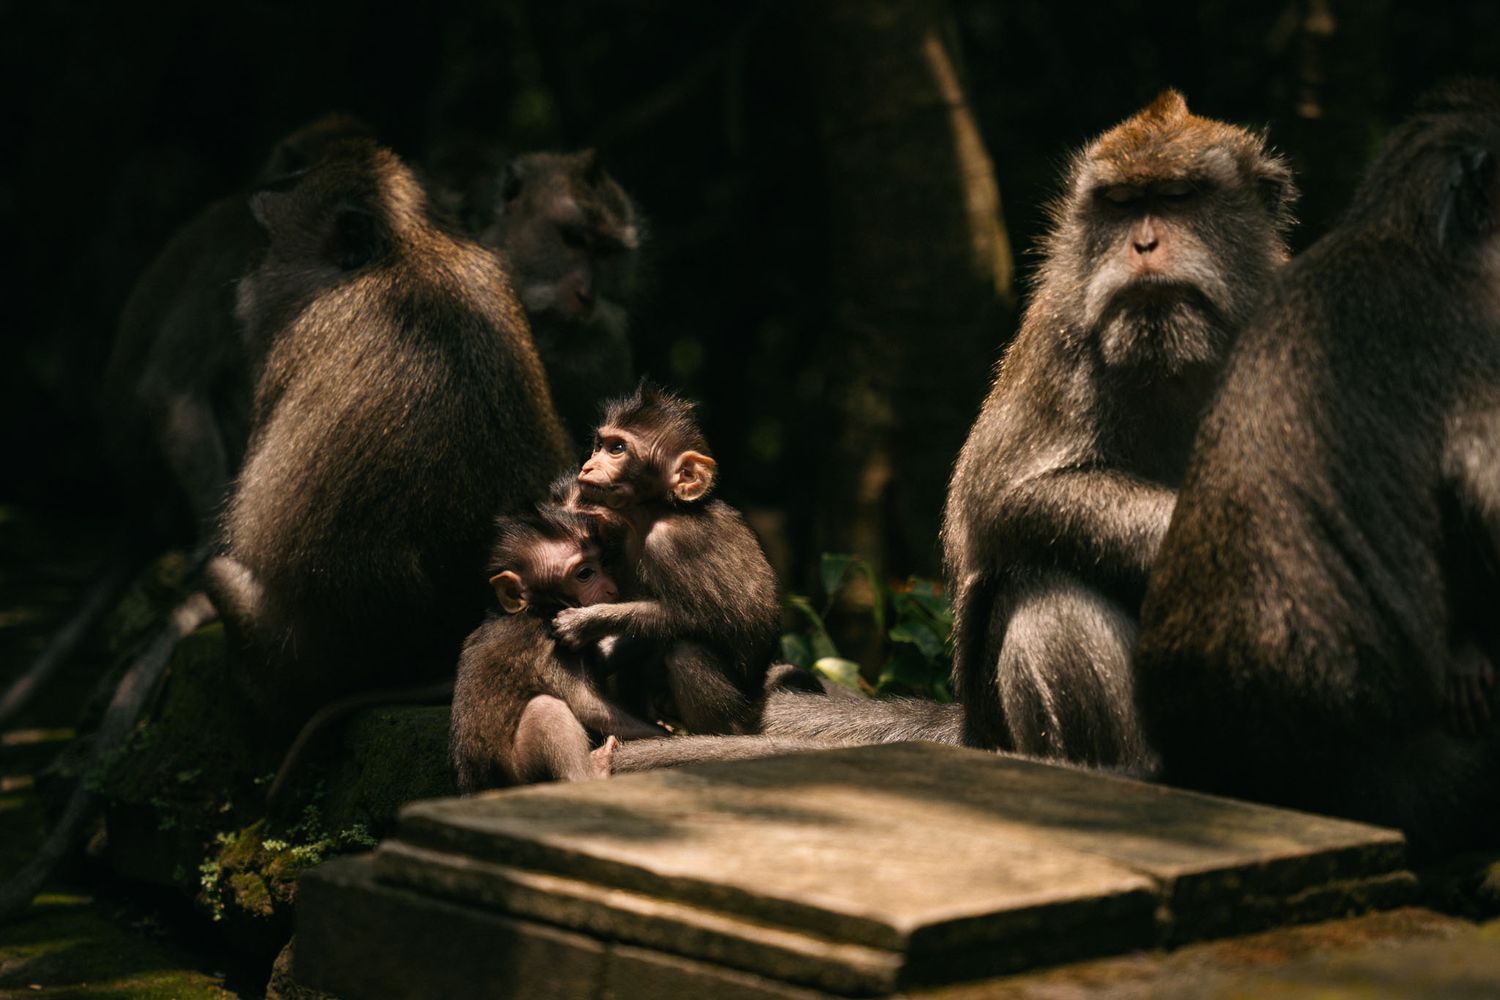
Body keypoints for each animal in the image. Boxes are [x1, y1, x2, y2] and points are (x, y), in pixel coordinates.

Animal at [205, 137, 573, 747]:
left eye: (265, 242)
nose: (247, 275)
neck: (403, 249)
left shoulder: (293, 341)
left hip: (299, 657)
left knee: (219, 578)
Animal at [451, 507, 668, 792]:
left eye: (603, 563)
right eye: (584, 574)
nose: (612, 589)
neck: (535, 607)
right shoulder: (547, 641)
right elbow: (588, 706)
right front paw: (667, 734)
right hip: (520, 777)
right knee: (546, 709)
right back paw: (590, 775)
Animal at [548, 384, 781, 735]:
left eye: (617, 449)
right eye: (599, 445)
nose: (588, 466)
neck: (653, 512)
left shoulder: (671, 541)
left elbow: (693, 618)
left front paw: (585, 622)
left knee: (685, 649)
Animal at [940, 90, 1297, 769]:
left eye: (1177, 196)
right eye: (1122, 203)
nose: (1144, 243)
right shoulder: (1058, 336)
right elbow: (1002, 497)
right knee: (1046, 585)